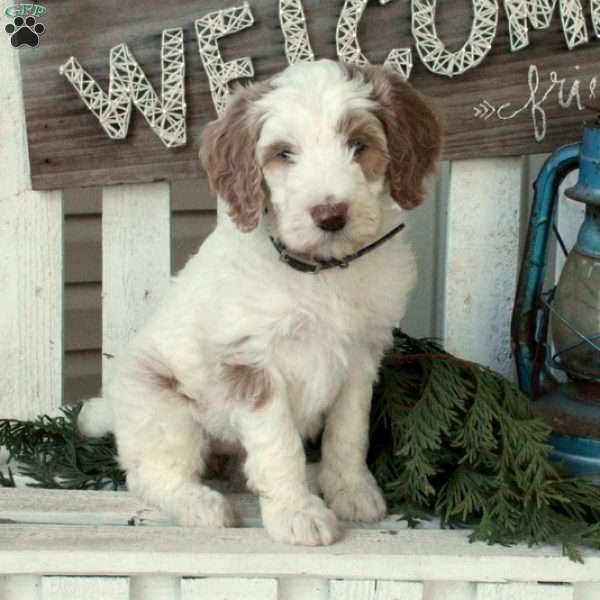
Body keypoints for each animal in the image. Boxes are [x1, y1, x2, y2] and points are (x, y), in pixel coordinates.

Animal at [78, 58, 440, 548]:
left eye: (359, 145)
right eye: (284, 154)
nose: (330, 216)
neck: (323, 272)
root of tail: (115, 409)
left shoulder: (362, 355)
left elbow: (348, 431)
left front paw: (349, 488)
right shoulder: (250, 360)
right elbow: (277, 442)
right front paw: (296, 511)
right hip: (162, 403)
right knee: (152, 474)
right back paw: (200, 505)